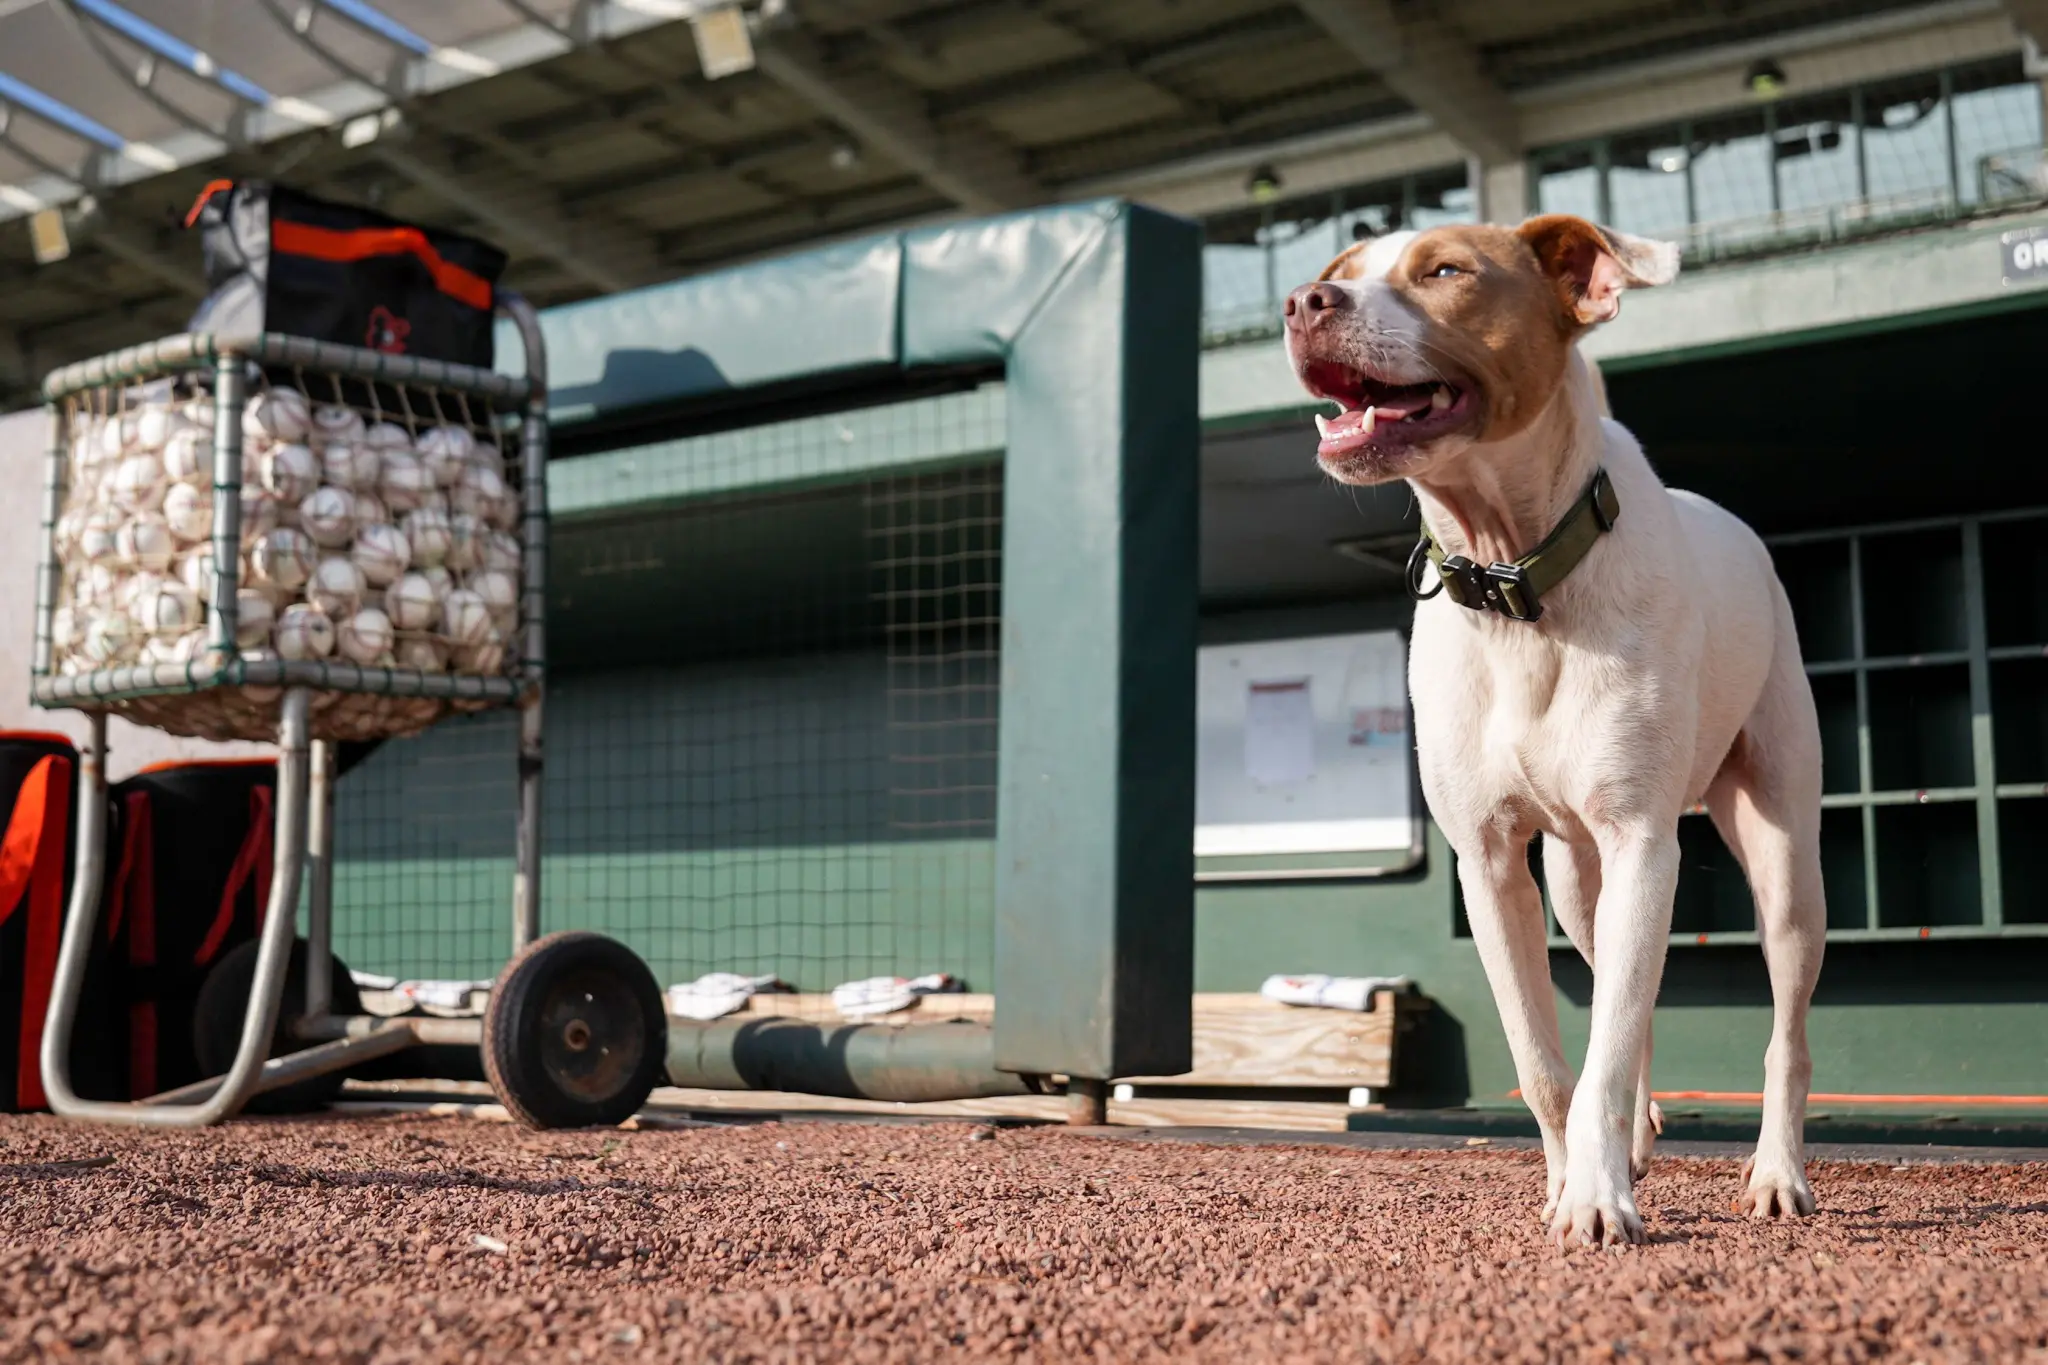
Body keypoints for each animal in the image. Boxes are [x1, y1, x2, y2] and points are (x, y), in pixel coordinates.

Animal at [1286, 215, 1835, 1252]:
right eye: (1337, 271)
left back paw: (1776, 1172)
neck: (1515, 575)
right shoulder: (1491, 863)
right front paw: (1567, 1181)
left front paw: (1596, 1198)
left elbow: (1606, 1053)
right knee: (1629, 991)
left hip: (1783, 855)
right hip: (1582, 885)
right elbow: (1550, 1062)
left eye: (1446, 270)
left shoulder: (1643, 840)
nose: (1303, 302)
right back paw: (1640, 1139)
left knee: (1785, 1027)